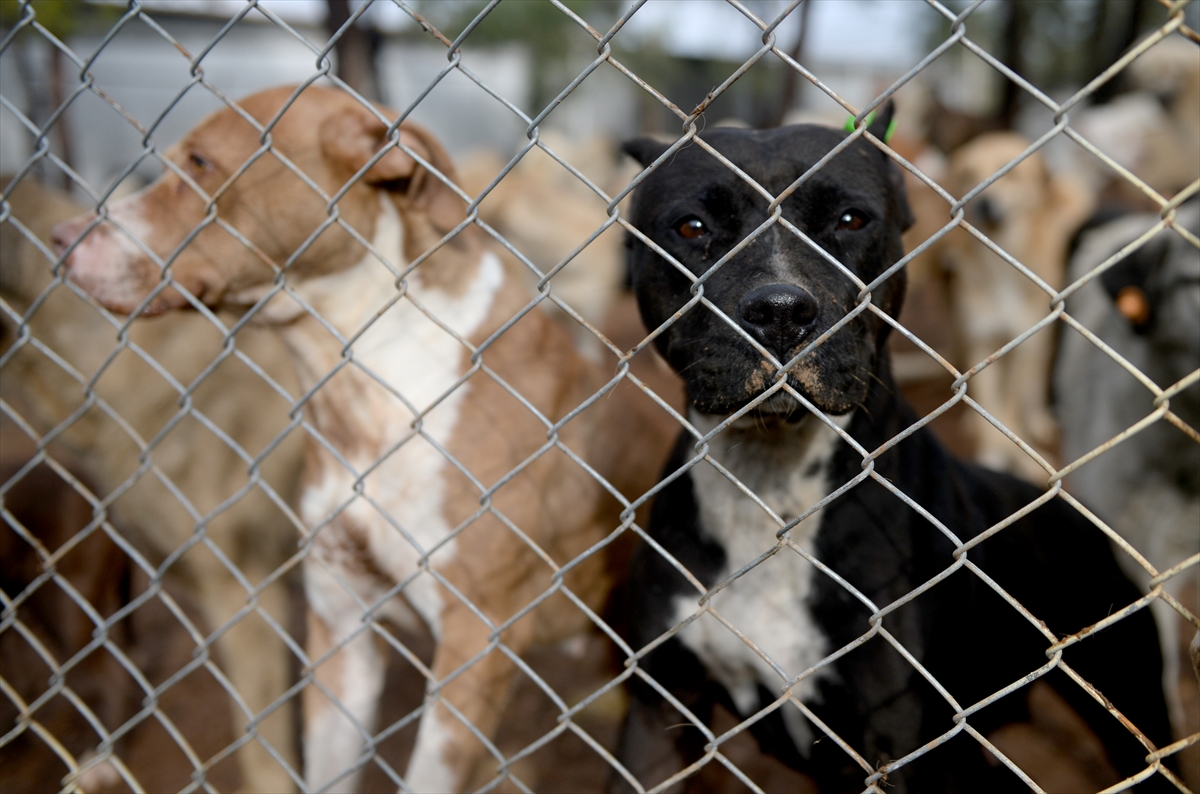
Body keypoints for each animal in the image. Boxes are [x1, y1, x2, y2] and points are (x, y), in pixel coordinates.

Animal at [936, 133, 1099, 482]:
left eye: (1009, 172)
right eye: (968, 174)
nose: (983, 203)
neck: (1001, 263)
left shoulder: (1023, 345)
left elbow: (1010, 408)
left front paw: (1017, 454)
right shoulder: (981, 342)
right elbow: (989, 406)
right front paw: (994, 453)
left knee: (1031, 386)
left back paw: (1036, 418)